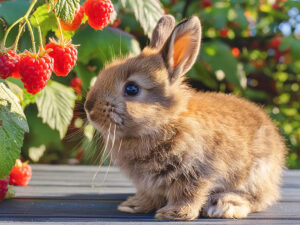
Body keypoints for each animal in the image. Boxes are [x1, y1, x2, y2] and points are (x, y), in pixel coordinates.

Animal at [84, 14, 286, 221]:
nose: (88, 108)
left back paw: (225, 206)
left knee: (257, 198)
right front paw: (133, 205)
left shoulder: (197, 172)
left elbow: (188, 194)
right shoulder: (148, 184)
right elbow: (149, 195)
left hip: (256, 174)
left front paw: (173, 213)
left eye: (132, 88)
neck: (165, 122)